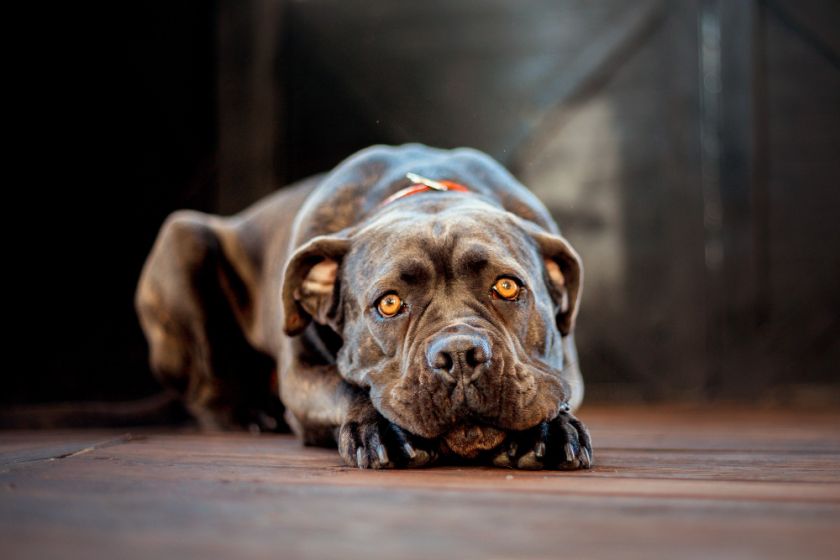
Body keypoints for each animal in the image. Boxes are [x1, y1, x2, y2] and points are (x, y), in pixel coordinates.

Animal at [136, 143, 592, 468]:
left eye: (507, 286)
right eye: (388, 304)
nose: (460, 355)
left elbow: (551, 388)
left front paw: (548, 430)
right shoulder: (302, 379)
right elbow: (347, 386)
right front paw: (381, 429)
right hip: (183, 239)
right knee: (206, 389)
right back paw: (249, 414)